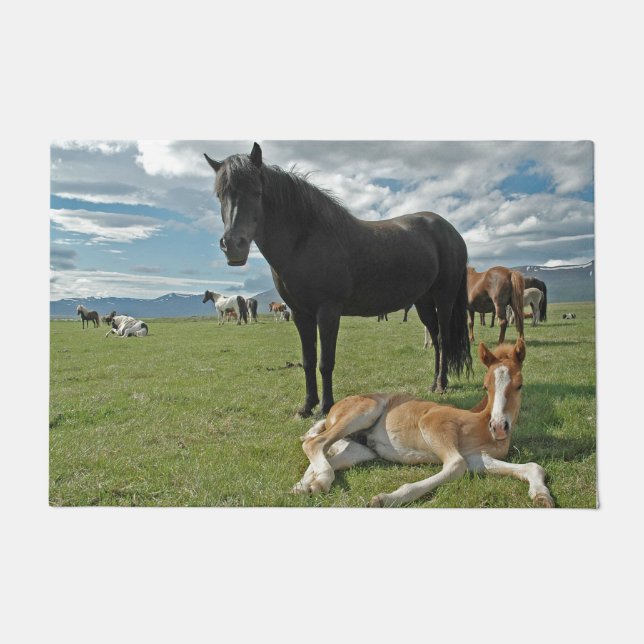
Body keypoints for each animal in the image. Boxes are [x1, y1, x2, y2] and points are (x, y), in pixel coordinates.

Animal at [204, 143, 472, 417]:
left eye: (257, 192)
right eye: (220, 196)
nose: (233, 246)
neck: (305, 240)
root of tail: (452, 232)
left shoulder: (328, 310)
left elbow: (325, 362)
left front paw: (325, 407)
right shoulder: (300, 313)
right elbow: (308, 360)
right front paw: (307, 406)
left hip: (444, 298)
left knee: (443, 338)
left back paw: (442, 385)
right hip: (423, 301)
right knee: (436, 338)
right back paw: (433, 384)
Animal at [292, 337, 553, 507]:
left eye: (519, 385)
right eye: (485, 386)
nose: (498, 426)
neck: (479, 423)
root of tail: (333, 410)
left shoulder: (478, 457)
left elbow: (533, 467)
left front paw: (542, 497)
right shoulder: (433, 424)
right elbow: (456, 466)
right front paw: (385, 499)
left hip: (360, 450)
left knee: (327, 453)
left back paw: (305, 486)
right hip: (365, 411)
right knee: (314, 443)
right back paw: (318, 483)